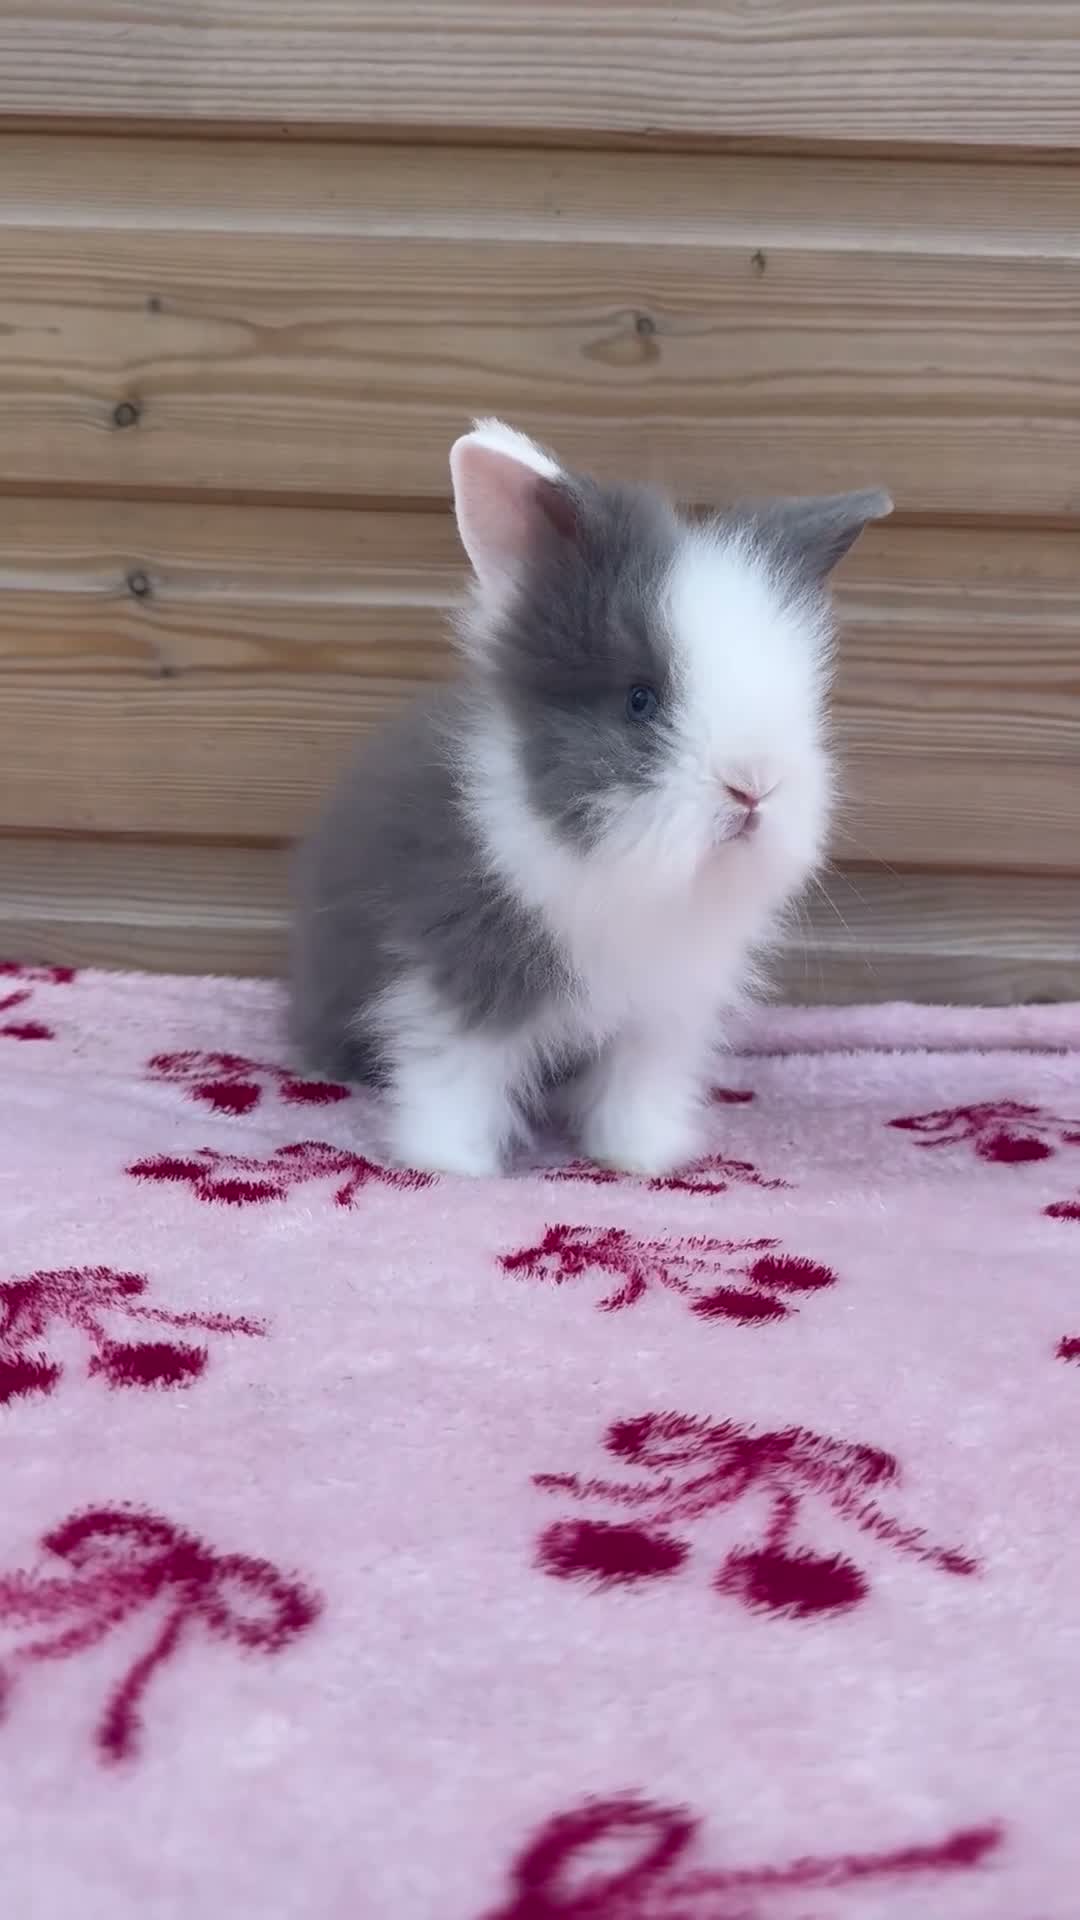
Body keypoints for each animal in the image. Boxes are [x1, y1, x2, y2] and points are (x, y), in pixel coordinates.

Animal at [289, 418, 891, 1178]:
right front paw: (452, 1165)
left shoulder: (662, 1011)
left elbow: (637, 1084)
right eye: (640, 700)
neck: (631, 882)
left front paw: (641, 1158)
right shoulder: (459, 968)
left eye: (803, 702)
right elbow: (457, 1073)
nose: (754, 787)